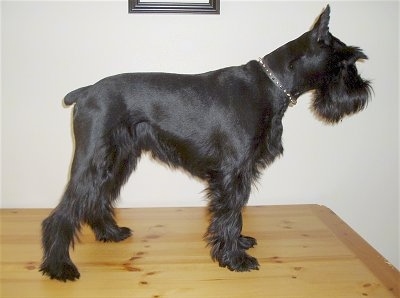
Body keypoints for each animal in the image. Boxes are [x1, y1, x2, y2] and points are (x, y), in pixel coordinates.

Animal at [40, 6, 372, 282]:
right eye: (347, 61)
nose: (363, 90)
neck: (271, 85)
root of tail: (84, 92)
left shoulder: (240, 173)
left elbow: (235, 211)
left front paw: (238, 245)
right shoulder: (233, 172)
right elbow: (231, 213)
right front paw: (235, 258)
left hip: (117, 159)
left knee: (95, 199)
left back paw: (110, 233)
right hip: (94, 160)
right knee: (64, 212)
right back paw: (59, 266)